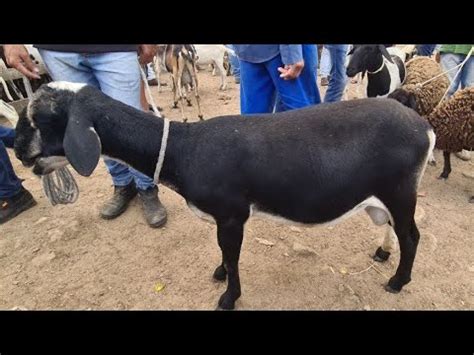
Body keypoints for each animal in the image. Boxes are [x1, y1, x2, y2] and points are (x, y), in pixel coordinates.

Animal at [14, 82, 436, 310]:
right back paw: (381, 252)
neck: (184, 148)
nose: (17, 151)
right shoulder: (221, 217)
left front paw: (228, 296)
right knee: (392, 227)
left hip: (400, 189)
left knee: (412, 235)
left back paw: (398, 281)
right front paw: (218, 275)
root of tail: (423, 126)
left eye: (41, 119)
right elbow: (221, 252)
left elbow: (232, 257)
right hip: (386, 193)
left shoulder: (233, 214)